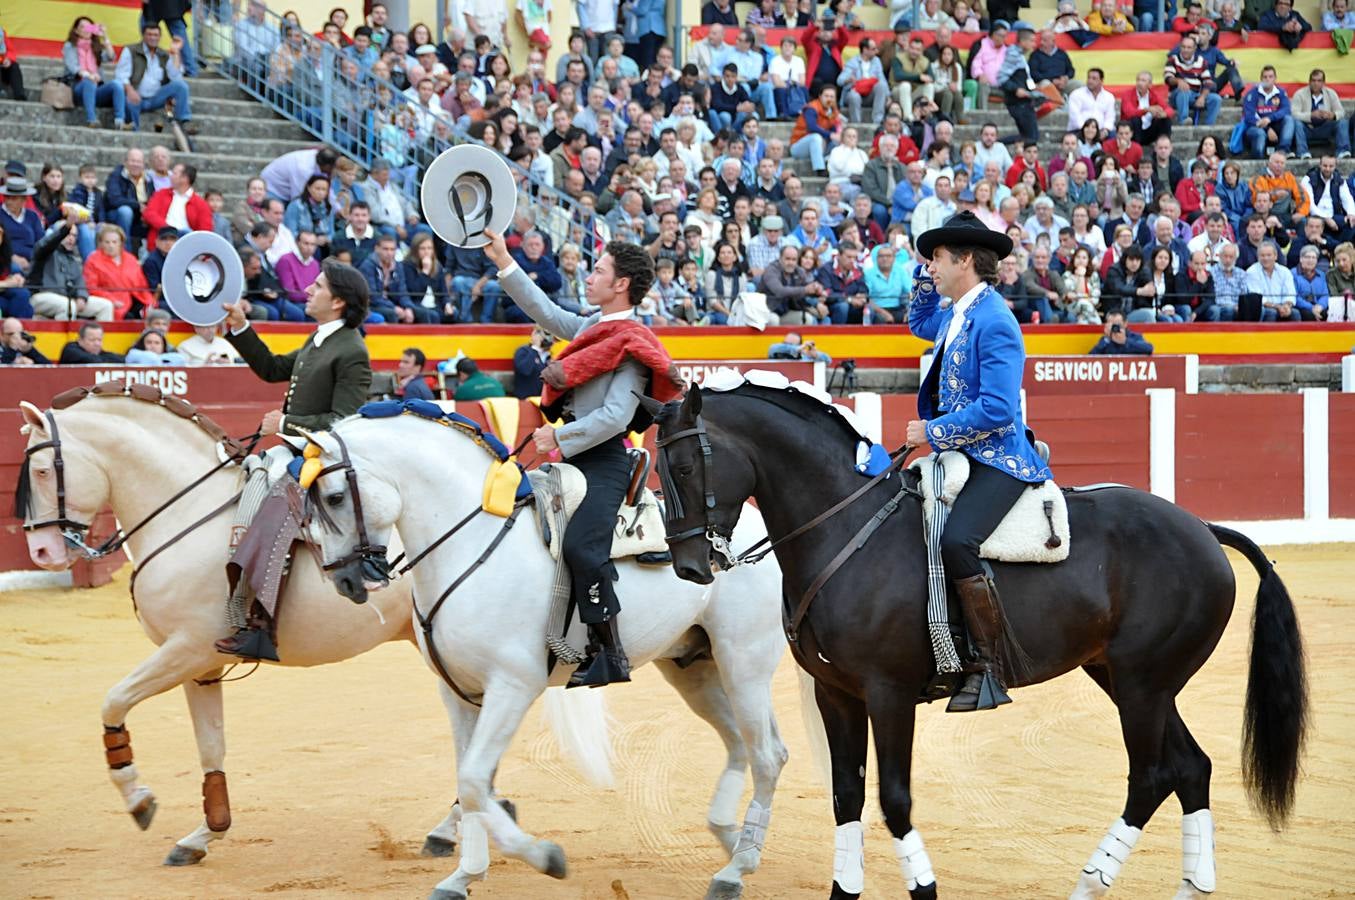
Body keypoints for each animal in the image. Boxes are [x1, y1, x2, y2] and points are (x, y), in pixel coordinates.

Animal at [11, 393, 593, 867]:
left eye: (38, 470)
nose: (40, 551)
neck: (189, 511)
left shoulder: (186, 650)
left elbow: (113, 699)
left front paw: (139, 800)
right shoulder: (202, 664)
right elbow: (211, 747)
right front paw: (204, 834)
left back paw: (453, 831)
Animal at [300, 412, 791, 900]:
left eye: (335, 497)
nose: (344, 581)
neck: (472, 542)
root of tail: (753, 528)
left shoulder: (513, 687)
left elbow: (475, 782)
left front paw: (545, 858)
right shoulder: (457, 693)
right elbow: (469, 779)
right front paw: (462, 876)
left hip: (743, 661)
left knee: (767, 753)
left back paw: (735, 868)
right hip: (694, 668)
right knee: (742, 744)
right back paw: (735, 843)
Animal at [650, 387, 1306, 900]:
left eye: (682, 469)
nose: (688, 566)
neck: (846, 529)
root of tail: (1202, 528)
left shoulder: (888, 694)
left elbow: (893, 798)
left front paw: (924, 887)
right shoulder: (837, 693)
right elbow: (846, 795)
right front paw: (845, 889)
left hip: (1143, 684)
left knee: (1150, 775)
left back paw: (1089, 882)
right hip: (1128, 679)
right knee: (1191, 767)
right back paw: (1190, 884)